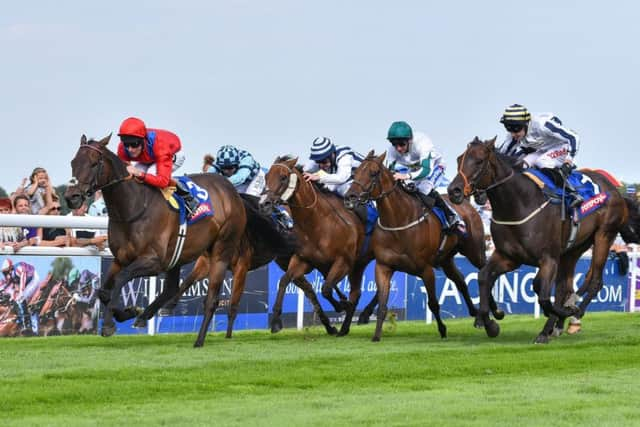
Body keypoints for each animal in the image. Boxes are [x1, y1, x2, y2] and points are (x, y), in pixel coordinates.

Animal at [63, 135, 248, 348]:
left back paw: (199, 340)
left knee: (211, 300)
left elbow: (121, 279)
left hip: (221, 250)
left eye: (94, 164)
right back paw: (145, 315)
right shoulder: (121, 258)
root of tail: (230, 190)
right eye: (73, 163)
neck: (133, 207)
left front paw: (109, 323)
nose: (71, 198)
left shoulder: (153, 261)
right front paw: (128, 312)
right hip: (179, 255)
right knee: (171, 288)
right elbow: (103, 291)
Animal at [258, 155, 376, 338]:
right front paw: (276, 320)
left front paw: (340, 306)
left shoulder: (343, 262)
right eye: (266, 176)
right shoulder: (303, 260)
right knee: (355, 293)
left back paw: (359, 315)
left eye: (283, 177)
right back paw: (345, 326)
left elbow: (326, 288)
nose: (264, 204)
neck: (318, 223)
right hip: (358, 264)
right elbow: (285, 281)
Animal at [342, 150, 498, 342]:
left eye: (373, 173)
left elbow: (433, 303)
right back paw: (476, 315)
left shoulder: (426, 269)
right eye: (354, 173)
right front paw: (376, 335)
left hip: (474, 251)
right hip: (446, 259)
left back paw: (494, 312)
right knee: (461, 281)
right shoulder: (383, 266)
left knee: (485, 271)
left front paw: (442, 330)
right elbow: (383, 304)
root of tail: (466, 203)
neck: (398, 222)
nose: (349, 198)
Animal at [448, 137, 640, 344]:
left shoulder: (549, 258)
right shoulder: (509, 257)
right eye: (459, 160)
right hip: (574, 249)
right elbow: (484, 276)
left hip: (604, 235)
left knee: (595, 281)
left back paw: (571, 317)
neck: (520, 204)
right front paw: (490, 322)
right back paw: (559, 322)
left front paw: (558, 316)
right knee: (566, 286)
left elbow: (541, 292)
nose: (453, 191)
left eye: (479, 161)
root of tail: (616, 191)